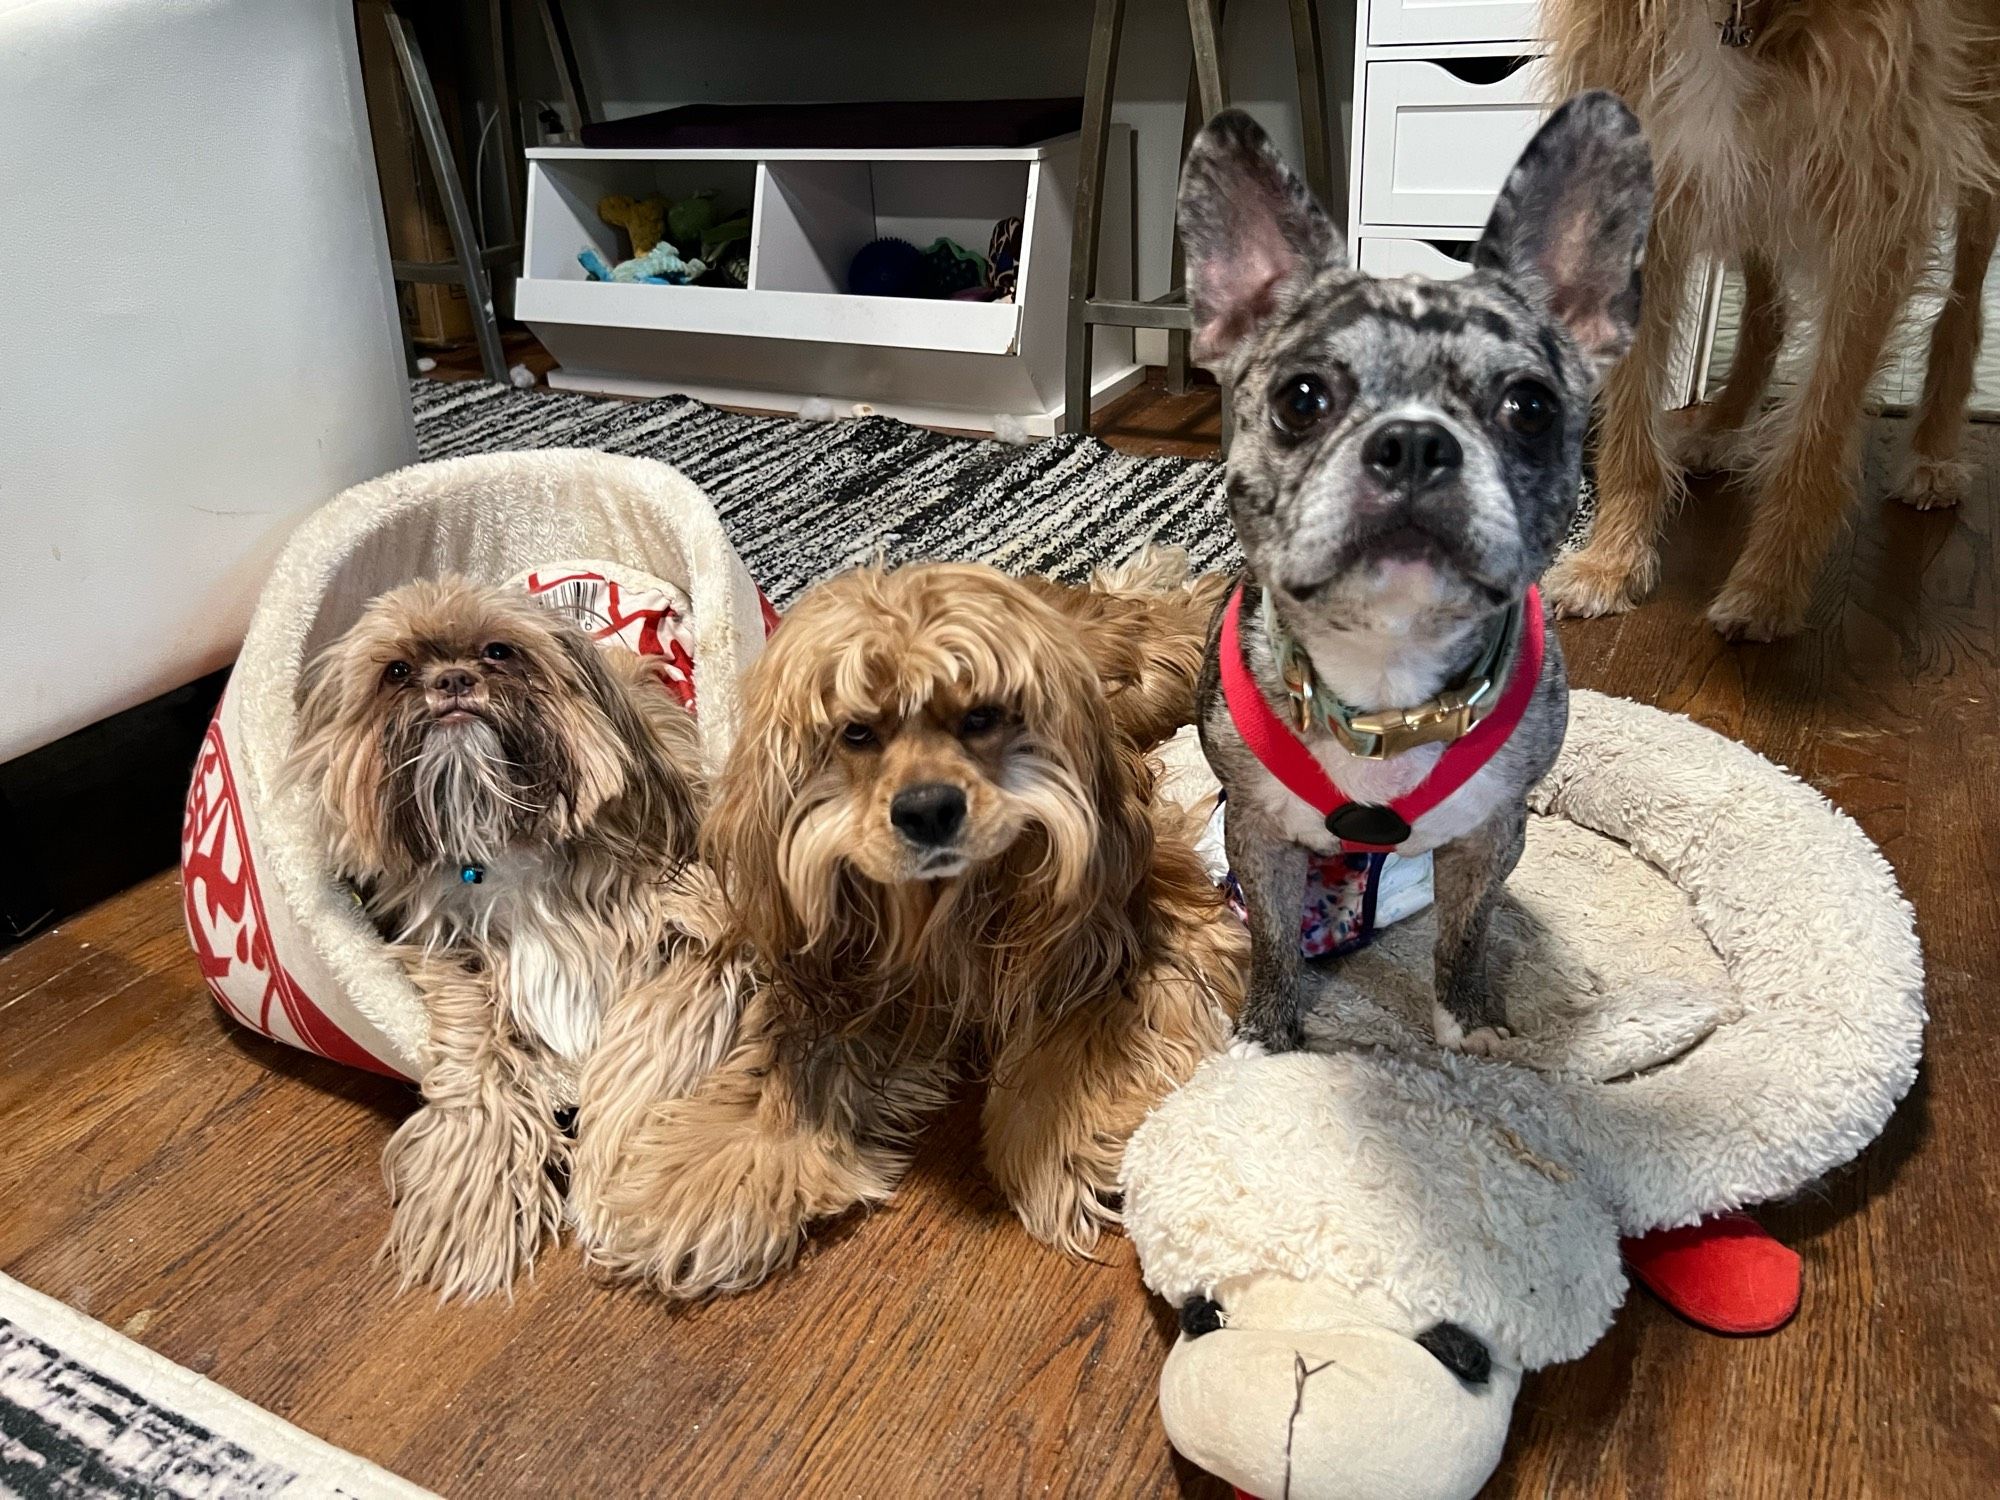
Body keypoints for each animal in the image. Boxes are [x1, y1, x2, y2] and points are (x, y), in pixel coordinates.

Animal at [572, 560, 1240, 1296]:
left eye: (982, 717)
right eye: (858, 733)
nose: (927, 810)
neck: (944, 901)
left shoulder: (1124, 920)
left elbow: (1085, 1026)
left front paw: (1058, 1141)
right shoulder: (842, 969)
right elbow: (787, 1069)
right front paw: (710, 1177)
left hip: (1149, 670)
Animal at [1544, 0, 2000, 640]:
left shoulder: (1875, 204)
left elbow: (1818, 432)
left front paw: (1769, 585)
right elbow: (1630, 422)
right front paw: (1612, 561)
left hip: (1980, 125)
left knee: (1964, 303)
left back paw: (1932, 450)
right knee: (1769, 304)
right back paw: (1721, 424)